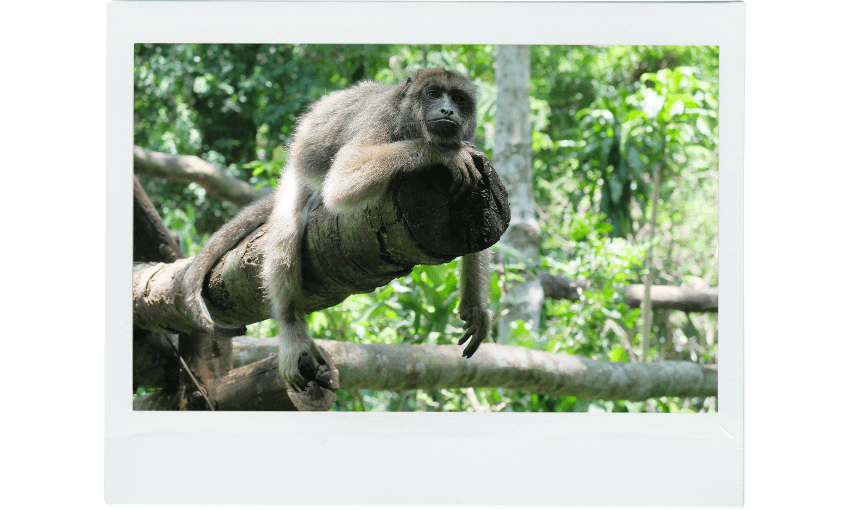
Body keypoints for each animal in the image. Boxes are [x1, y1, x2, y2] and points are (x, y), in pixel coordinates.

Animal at [181, 68, 494, 391]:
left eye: (458, 98)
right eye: (433, 94)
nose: (448, 110)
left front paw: (475, 306)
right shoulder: (381, 122)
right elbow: (344, 180)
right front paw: (443, 155)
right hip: (296, 175)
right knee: (287, 233)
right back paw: (292, 332)